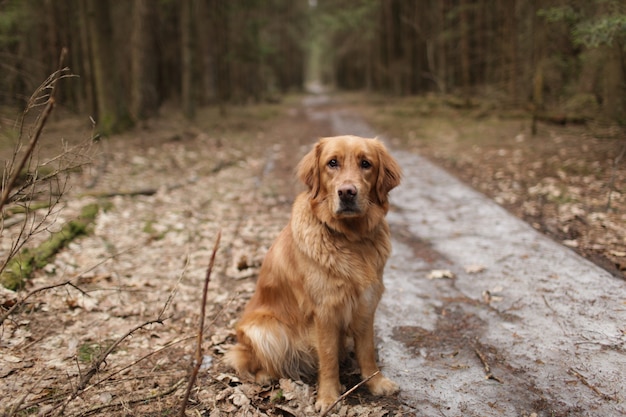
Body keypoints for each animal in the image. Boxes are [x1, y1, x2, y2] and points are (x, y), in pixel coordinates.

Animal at [225, 134, 400, 410]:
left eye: (366, 163)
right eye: (332, 163)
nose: (347, 192)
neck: (351, 239)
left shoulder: (366, 303)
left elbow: (367, 351)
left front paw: (375, 382)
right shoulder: (325, 310)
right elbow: (328, 358)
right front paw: (328, 397)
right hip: (264, 330)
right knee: (253, 360)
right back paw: (266, 376)